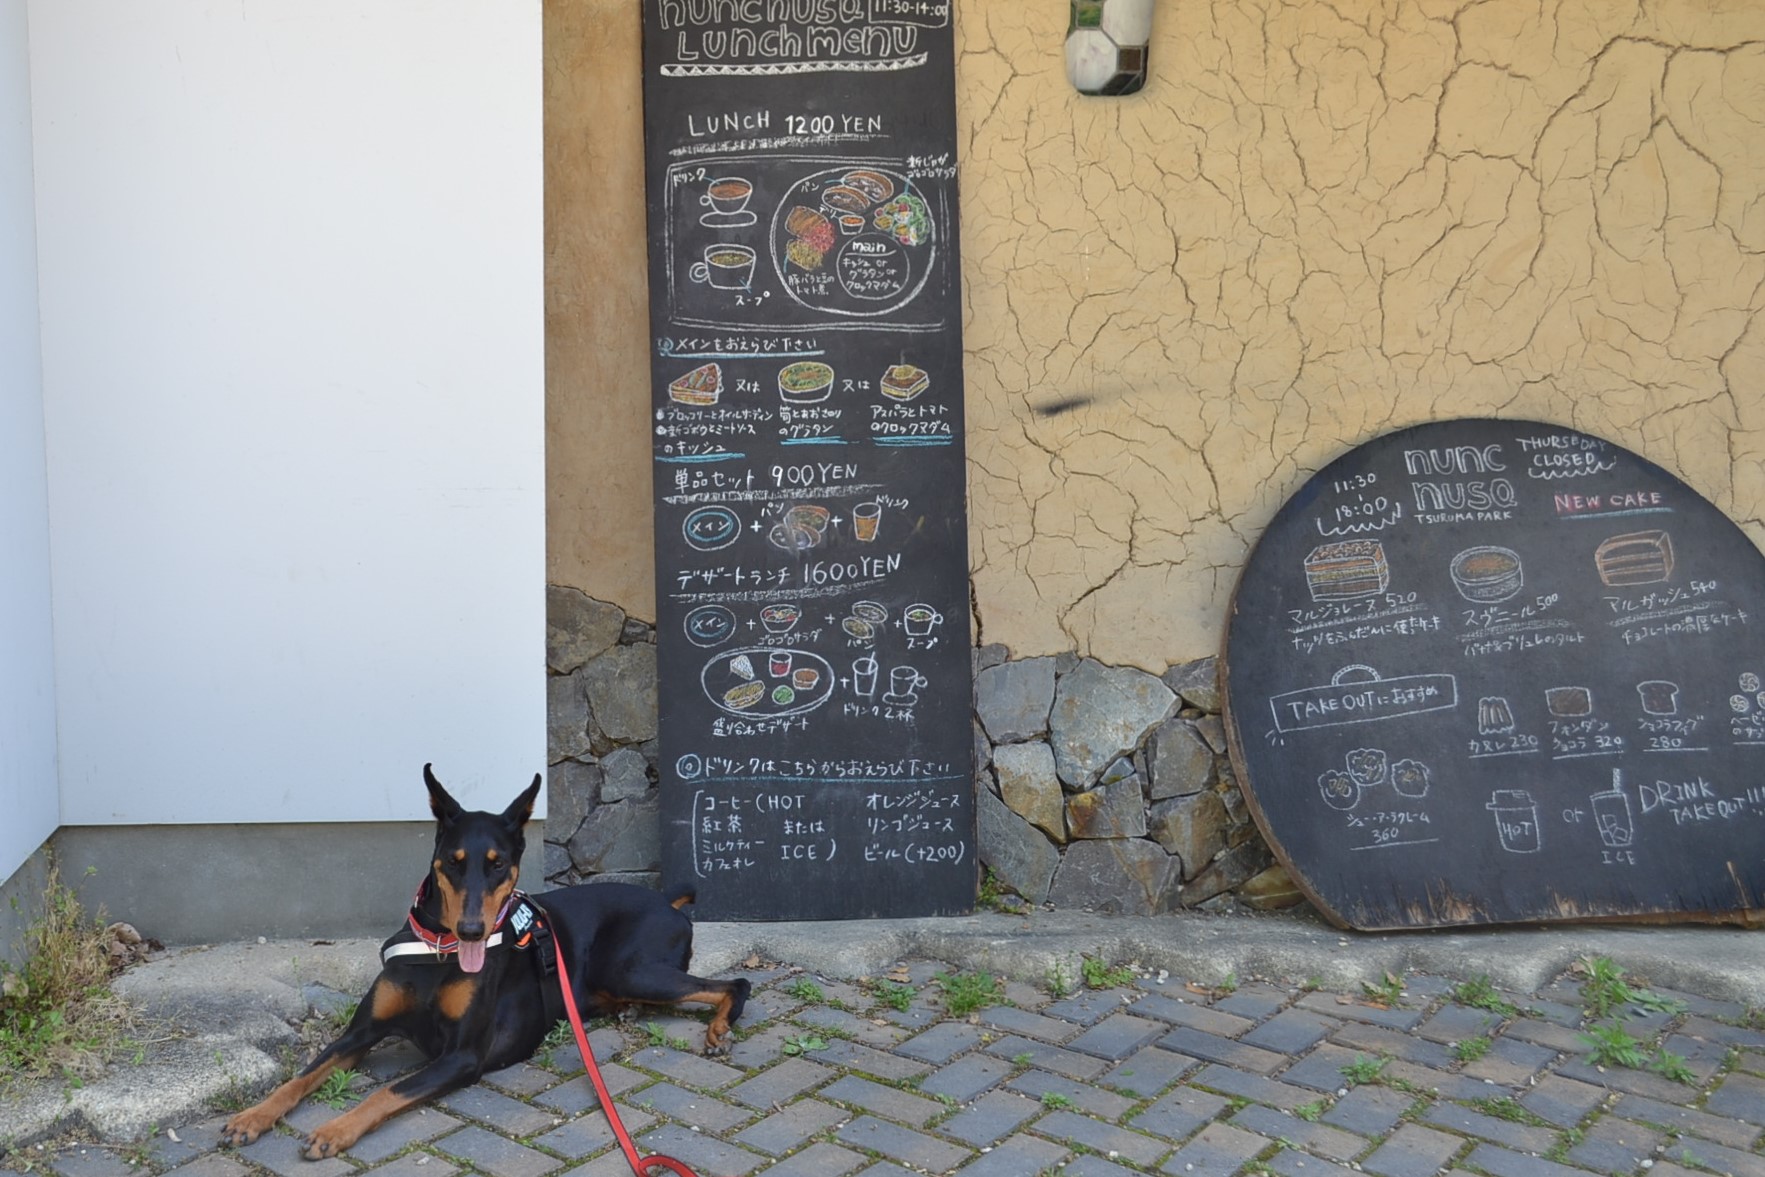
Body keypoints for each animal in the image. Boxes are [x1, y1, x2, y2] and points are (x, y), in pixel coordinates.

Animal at [220, 765, 744, 1157]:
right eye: (453, 861)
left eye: (498, 864)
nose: (472, 930)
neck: (438, 952)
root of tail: (667, 902)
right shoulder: (360, 1032)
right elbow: (300, 1077)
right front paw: (251, 1117)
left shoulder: (462, 1056)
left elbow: (387, 1090)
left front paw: (333, 1130)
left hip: (628, 969)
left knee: (735, 984)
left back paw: (718, 1029)